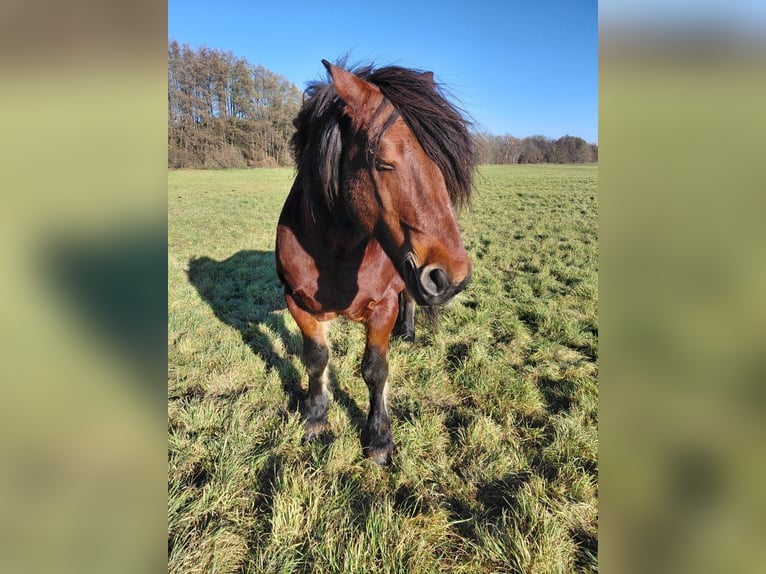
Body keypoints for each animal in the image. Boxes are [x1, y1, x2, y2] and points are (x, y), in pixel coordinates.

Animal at [275, 60, 475, 464]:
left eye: (442, 164)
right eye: (383, 162)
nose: (453, 278)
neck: (335, 252)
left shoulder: (382, 308)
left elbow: (375, 371)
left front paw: (379, 437)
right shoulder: (297, 303)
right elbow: (316, 358)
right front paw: (315, 416)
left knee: (409, 295)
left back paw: (408, 331)